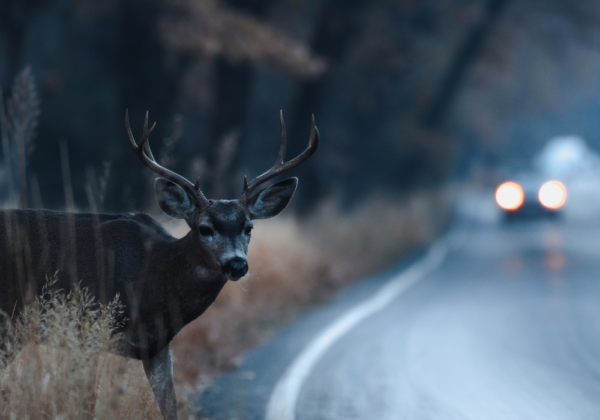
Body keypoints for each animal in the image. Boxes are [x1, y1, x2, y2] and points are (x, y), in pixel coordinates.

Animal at [0, 110, 318, 418]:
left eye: (248, 227)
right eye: (205, 228)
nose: (237, 265)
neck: (156, 278)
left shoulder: (158, 346)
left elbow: (170, 407)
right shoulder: (89, 328)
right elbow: (86, 404)